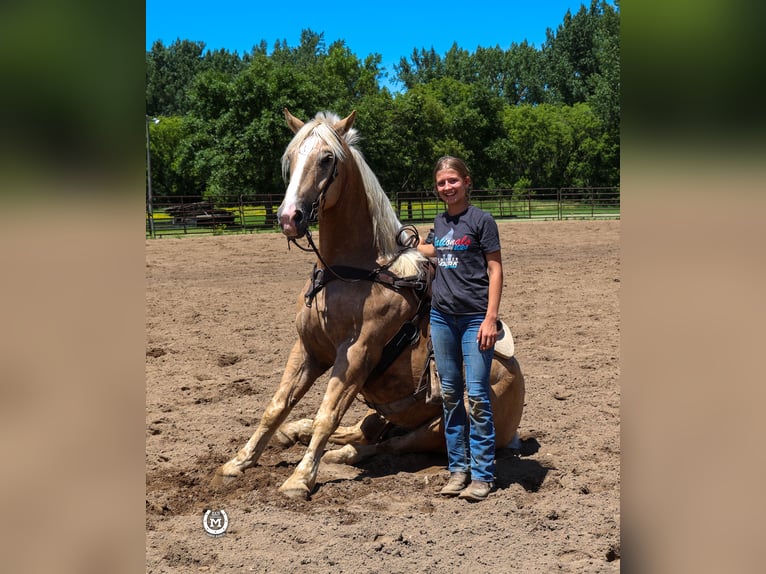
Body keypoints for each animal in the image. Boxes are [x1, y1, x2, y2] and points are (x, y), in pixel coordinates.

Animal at [212, 110, 528, 502]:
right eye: (292, 157)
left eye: (327, 159)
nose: (289, 217)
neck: (352, 273)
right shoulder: (307, 349)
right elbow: (276, 406)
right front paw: (238, 462)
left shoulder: (356, 355)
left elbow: (327, 414)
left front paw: (299, 479)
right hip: (388, 416)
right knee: (363, 429)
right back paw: (297, 433)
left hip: (436, 428)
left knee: (383, 444)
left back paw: (337, 454)